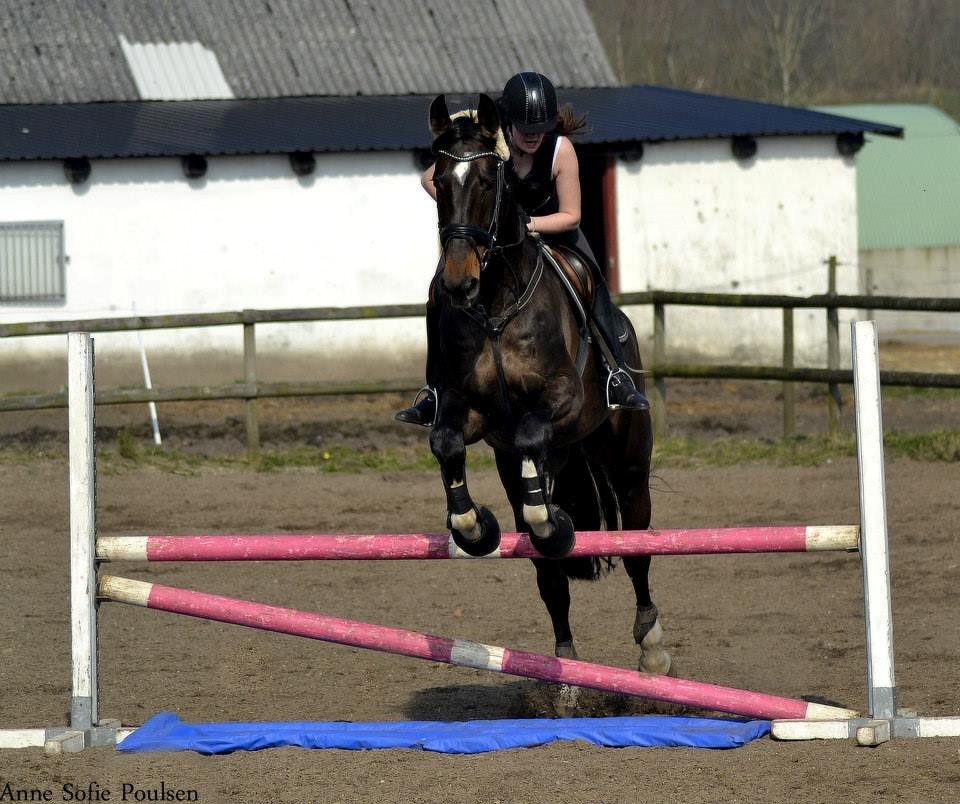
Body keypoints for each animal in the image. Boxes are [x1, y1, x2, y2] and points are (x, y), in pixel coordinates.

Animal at [424, 91, 672, 676]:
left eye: (487, 183)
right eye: (439, 182)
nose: (458, 283)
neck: (495, 305)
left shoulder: (563, 399)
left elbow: (534, 432)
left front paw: (554, 522)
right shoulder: (470, 410)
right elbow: (445, 441)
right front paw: (475, 528)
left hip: (628, 465)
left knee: (638, 548)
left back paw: (652, 647)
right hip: (528, 466)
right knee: (549, 575)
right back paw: (563, 670)